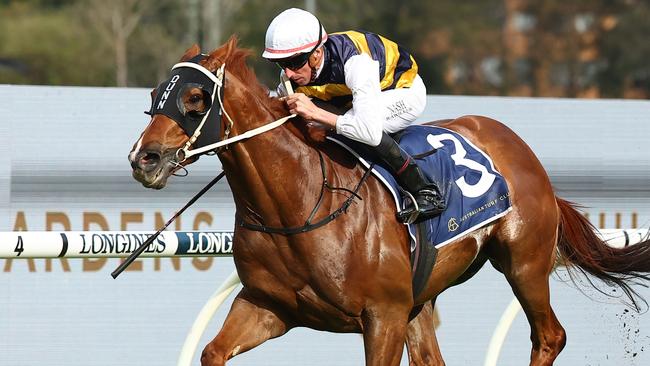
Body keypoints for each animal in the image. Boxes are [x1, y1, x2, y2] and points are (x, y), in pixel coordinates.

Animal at [129, 38, 648, 364]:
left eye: (196, 97)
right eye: (155, 94)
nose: (143, 158)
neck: (298, 203)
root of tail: (518, 145)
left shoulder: (383, 318)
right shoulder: (266, 307)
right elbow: (212, 351)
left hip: (524, 261)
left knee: (549, 337)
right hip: (422, 299)